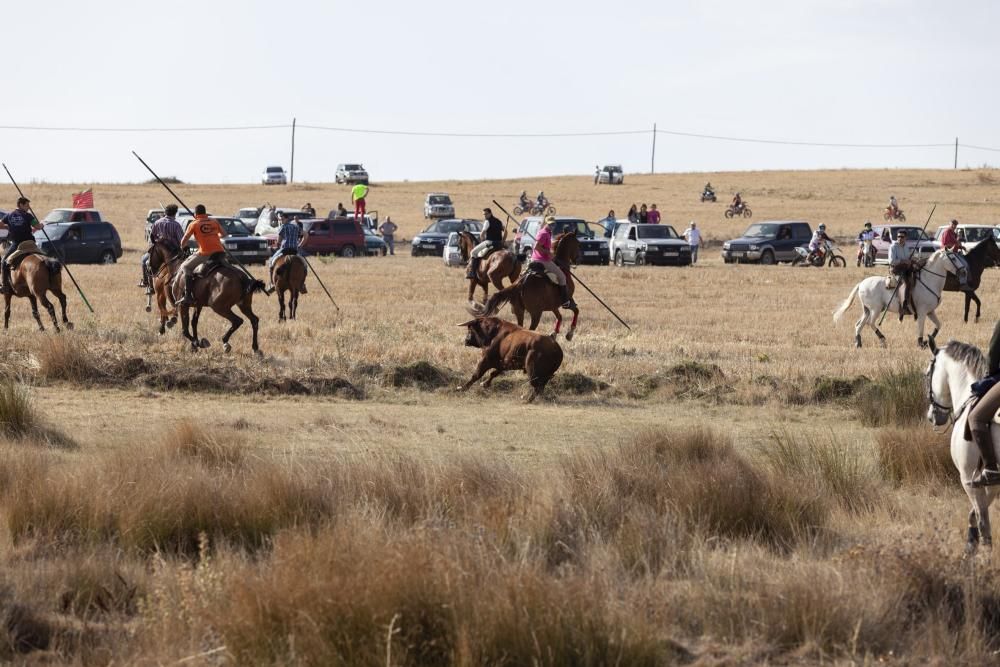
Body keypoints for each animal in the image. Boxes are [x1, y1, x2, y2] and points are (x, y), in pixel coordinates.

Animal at [828, 249, 960, 350]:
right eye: (953, 258)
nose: (962, 269)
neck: (929, 280)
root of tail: (861, 283)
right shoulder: (922, 312)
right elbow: (920, 328)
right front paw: (921, 344)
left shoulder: (930, 312)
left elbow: (938, 325)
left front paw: (927, 342)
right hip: (875, 309)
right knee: (870, 323)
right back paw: (882, 339)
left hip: (867, 310)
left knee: (859, 324)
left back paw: (858, 344)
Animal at [920, 336, 1000, 556]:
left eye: (927, 374)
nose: (932, 416)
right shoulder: (990, 484)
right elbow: (975, 515)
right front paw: (970, 549)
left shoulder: (968, 478)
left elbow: (982, 521)